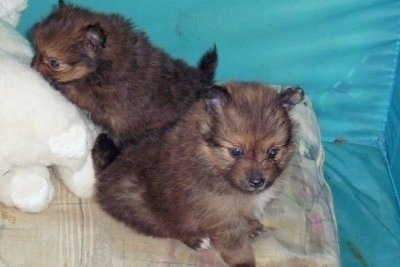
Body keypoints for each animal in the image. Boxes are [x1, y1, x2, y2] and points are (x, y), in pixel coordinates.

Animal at [30, 1, 219, 143]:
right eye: (36, 50)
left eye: (54, 63)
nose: (33, 66)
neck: (103, 66)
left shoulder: (100, 99)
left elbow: (75, 93)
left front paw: (58, 85)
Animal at [94, 82, 304, 266]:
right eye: (236, 152)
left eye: (273, 152)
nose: (257, 181)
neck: (211, 161)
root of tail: (107, 169)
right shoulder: (221, 218)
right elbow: (236, 246)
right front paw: (244, 262)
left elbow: (246, 216)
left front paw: (252, 226)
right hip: (142, 208)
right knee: (168, 228)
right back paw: (196, 240)